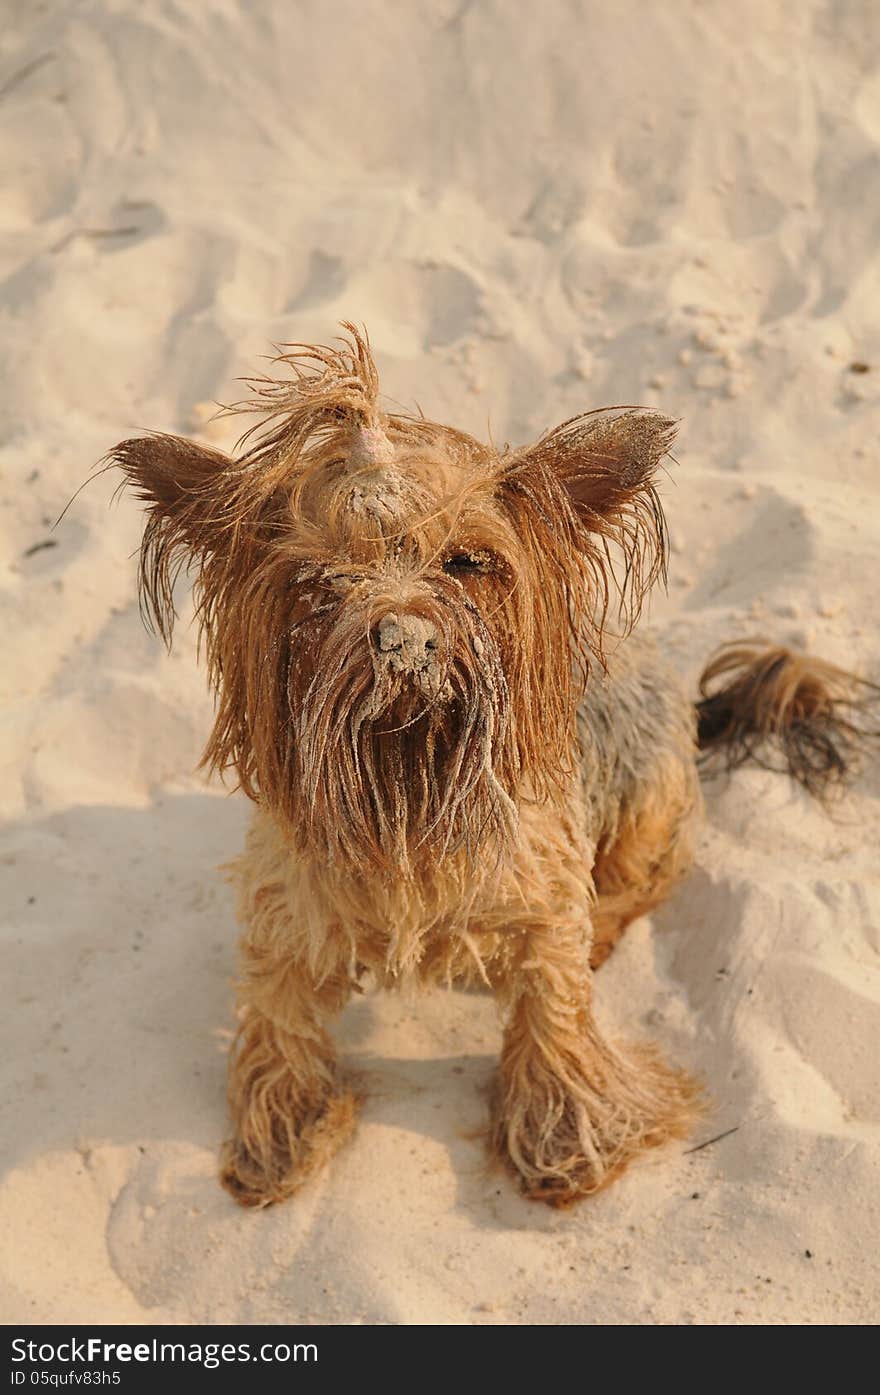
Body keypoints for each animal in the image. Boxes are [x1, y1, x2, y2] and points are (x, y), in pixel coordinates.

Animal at [105, 320, 875, 1205]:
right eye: (319, 579)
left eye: (466, 562)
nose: (404, 638)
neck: (408, 780)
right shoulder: (287, 898)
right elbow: (278, 1001)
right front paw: (283, 1127)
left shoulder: (546, 892)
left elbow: (555, 997)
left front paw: (567, 1133)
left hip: (652, 798)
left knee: (640, 884)